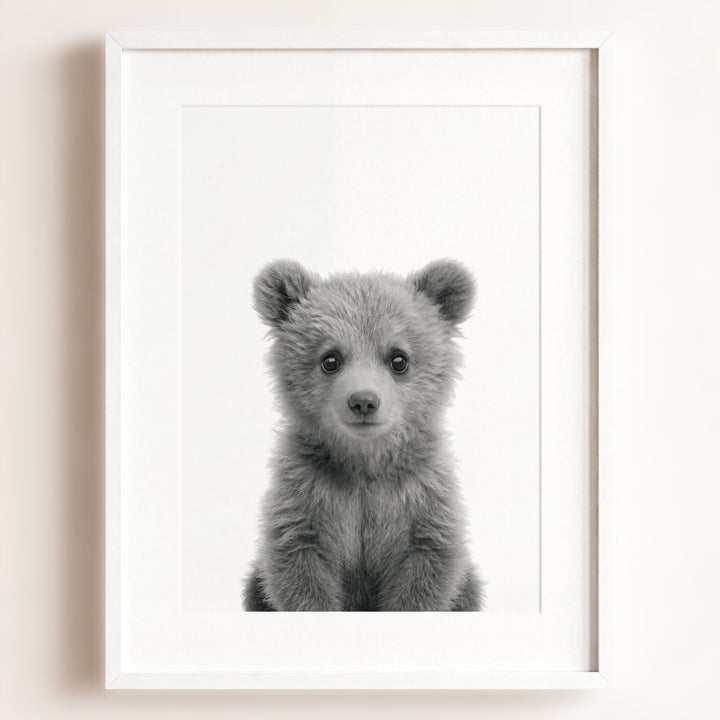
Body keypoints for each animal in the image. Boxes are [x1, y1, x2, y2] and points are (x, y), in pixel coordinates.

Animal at [243, 258, 484, 612]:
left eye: (399, 359)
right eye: (330, 359)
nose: (364, 402)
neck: (364, 463)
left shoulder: (421, 498)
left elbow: (425, 571)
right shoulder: (306, 495)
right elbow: (299, 569)